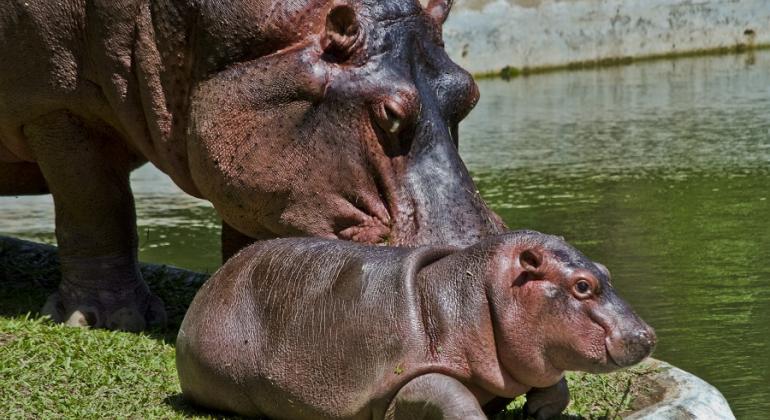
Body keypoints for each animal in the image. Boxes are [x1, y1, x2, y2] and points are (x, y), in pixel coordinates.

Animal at [177, 231, 652, 418]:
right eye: (583, 286)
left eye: (604, 271)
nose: (647, 334)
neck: (467, 297)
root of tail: (212, 284)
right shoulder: (405, 380)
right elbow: (453, 397)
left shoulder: (525, 359)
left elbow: (553, 380)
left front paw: (537, 411)